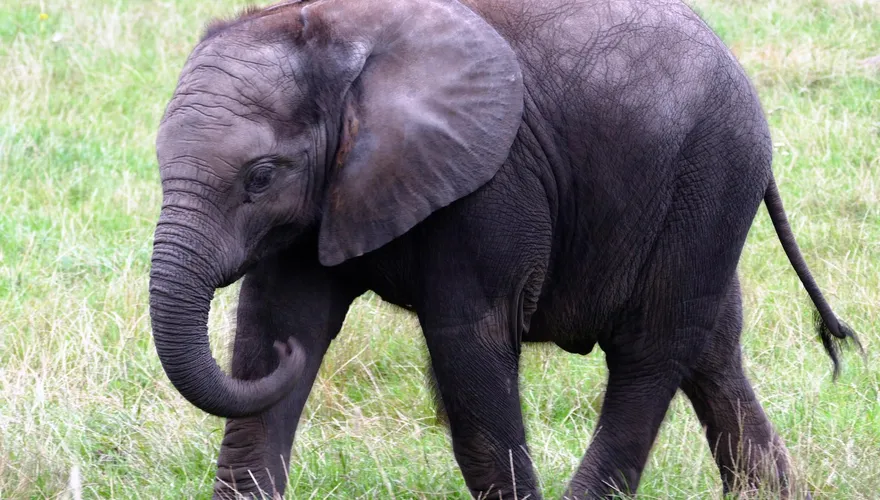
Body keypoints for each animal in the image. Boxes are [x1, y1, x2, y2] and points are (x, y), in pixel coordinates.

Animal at [148, 0, 861, 497]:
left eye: (261, 176)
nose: (292, 362)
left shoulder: (494, 183)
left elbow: (470, 344)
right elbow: (277, 321)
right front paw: (285, 349)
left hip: (709, 176)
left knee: (651, 350)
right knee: (711, 349)